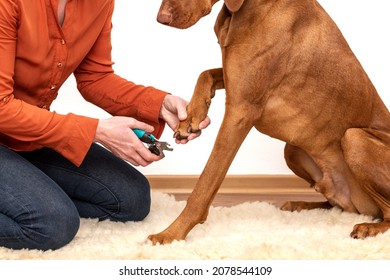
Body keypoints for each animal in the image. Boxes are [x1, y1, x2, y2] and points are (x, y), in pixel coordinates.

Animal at [148, 0, 390, 244]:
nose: (161, 18)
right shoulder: (232, 79)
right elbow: (205, 73)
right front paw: (190, 117)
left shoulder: (241, 110)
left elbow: (205, 183)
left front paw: (171, 234)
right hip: (293, 150)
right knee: (337, 205)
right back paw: (300, 204)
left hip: (354, 138)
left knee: (385, 212)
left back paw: (368, 227)